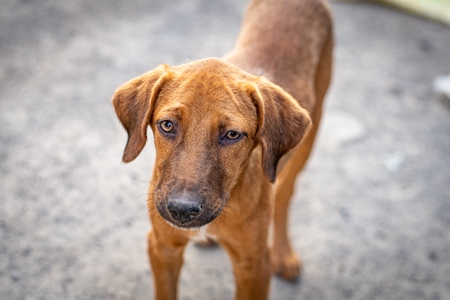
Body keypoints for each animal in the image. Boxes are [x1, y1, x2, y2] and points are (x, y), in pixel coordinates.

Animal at [110, 0, 332, 298]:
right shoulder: (162, 247)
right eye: (167, 125)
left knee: (285, 193)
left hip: (311, 131)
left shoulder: (253, 266)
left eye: (232, 135)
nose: (181, 210)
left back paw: (283, 253)